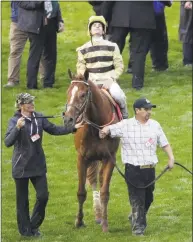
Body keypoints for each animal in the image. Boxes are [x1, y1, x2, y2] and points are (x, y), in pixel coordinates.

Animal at [63, 70, 120, 233]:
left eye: (83, 95)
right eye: (68, 93)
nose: (68, 119)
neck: (97, 126)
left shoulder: (110, 158)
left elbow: (105, 192)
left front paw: (105, 225)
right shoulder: (82, 158)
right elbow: (81, 192)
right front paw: (79, 221)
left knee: (99, 180)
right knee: (94, 180)